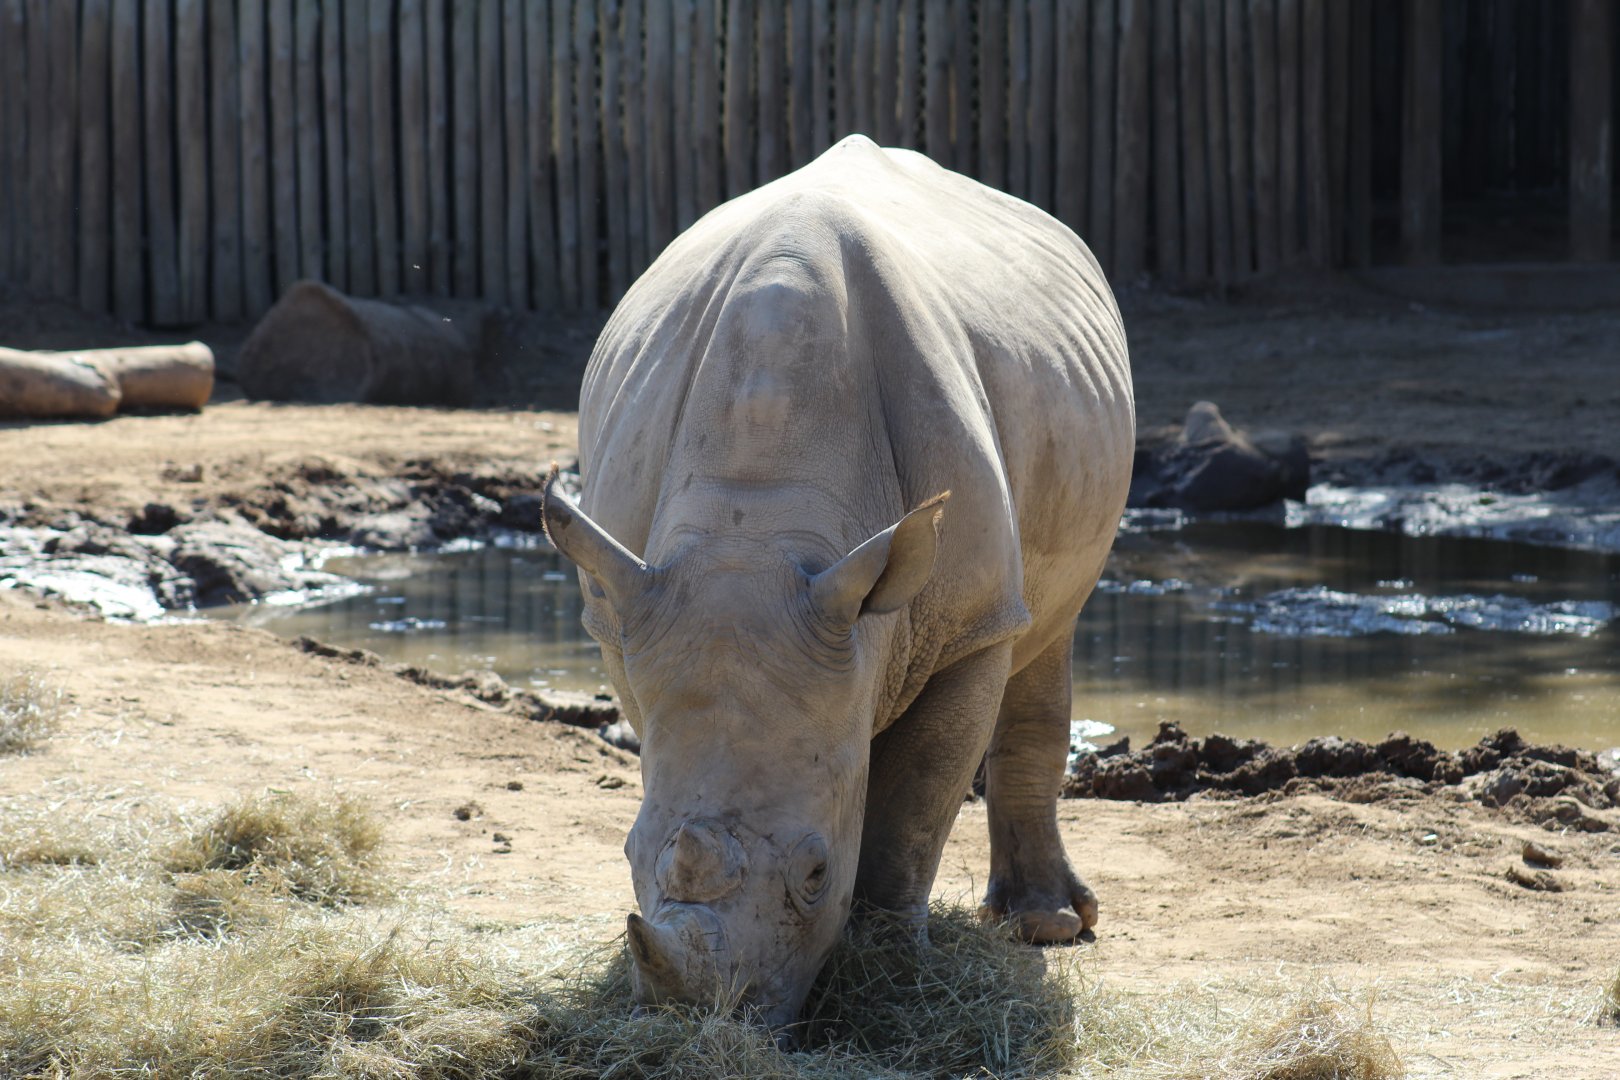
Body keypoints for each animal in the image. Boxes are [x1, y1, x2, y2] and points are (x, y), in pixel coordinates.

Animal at [542, 135, 1134, 1034]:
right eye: (627, 852)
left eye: (817, 873)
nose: (705, 1019)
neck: (756, 525)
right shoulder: (631, 610)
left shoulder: (966, 626)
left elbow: (914, 807)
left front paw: (889, 970)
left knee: (1045, 626)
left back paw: (1048, 926)